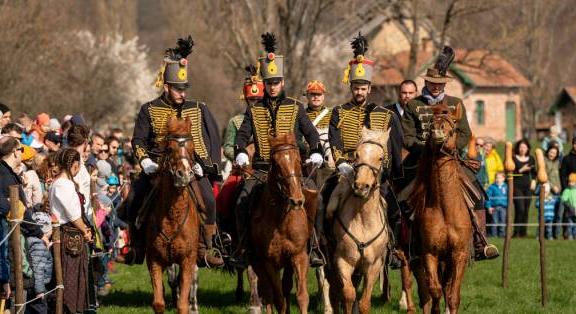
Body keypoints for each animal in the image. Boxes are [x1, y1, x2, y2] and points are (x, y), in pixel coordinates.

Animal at [146, 118, 200, 314]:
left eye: (192, 148)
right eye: (169, 148)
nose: (184, 175)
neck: (172, 218)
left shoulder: (187, 261)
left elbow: (182, 305)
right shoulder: (154, 260)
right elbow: (158, 303)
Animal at [251, 133, 318, 314]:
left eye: (299, 160)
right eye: (276, 164)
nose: (297, 200)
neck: (280, 220)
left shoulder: (298, 256)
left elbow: (302, 296)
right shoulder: (269, 262)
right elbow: (278, 299)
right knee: (267, 293)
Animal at [324, 127, 392, 314]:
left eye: (380, 157)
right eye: (357, 154)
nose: (361, 187)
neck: (363, 219)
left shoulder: (373, 265)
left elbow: (364, 303)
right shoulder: (342, 261)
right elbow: (348, 294)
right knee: (334, 290)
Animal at [408, 104, 470, 312]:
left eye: (454, 124)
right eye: (431, 123)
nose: (437, 131)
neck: (445, 209)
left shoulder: (459, 254)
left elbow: (453, 295)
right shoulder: (430, 253)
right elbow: (434, 291)